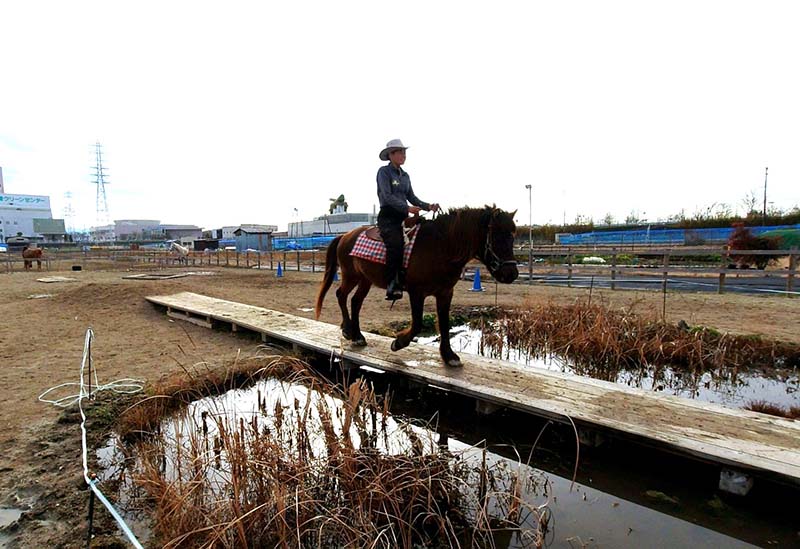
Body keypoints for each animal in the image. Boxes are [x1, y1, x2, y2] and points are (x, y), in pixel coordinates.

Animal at [315, 205, 519, 367]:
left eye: (513, 236)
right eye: (497, 236)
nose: (512, 274)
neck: (441, 247)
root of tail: (345, 236)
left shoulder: (445, 293)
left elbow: (444, 323)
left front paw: (449, 356)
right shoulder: (417, 292)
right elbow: (418, 324)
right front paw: (398, 342)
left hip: (365, 279)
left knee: (356, 301)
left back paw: (357, 335)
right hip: (351, 276)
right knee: (341, 295)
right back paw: (348, 330)